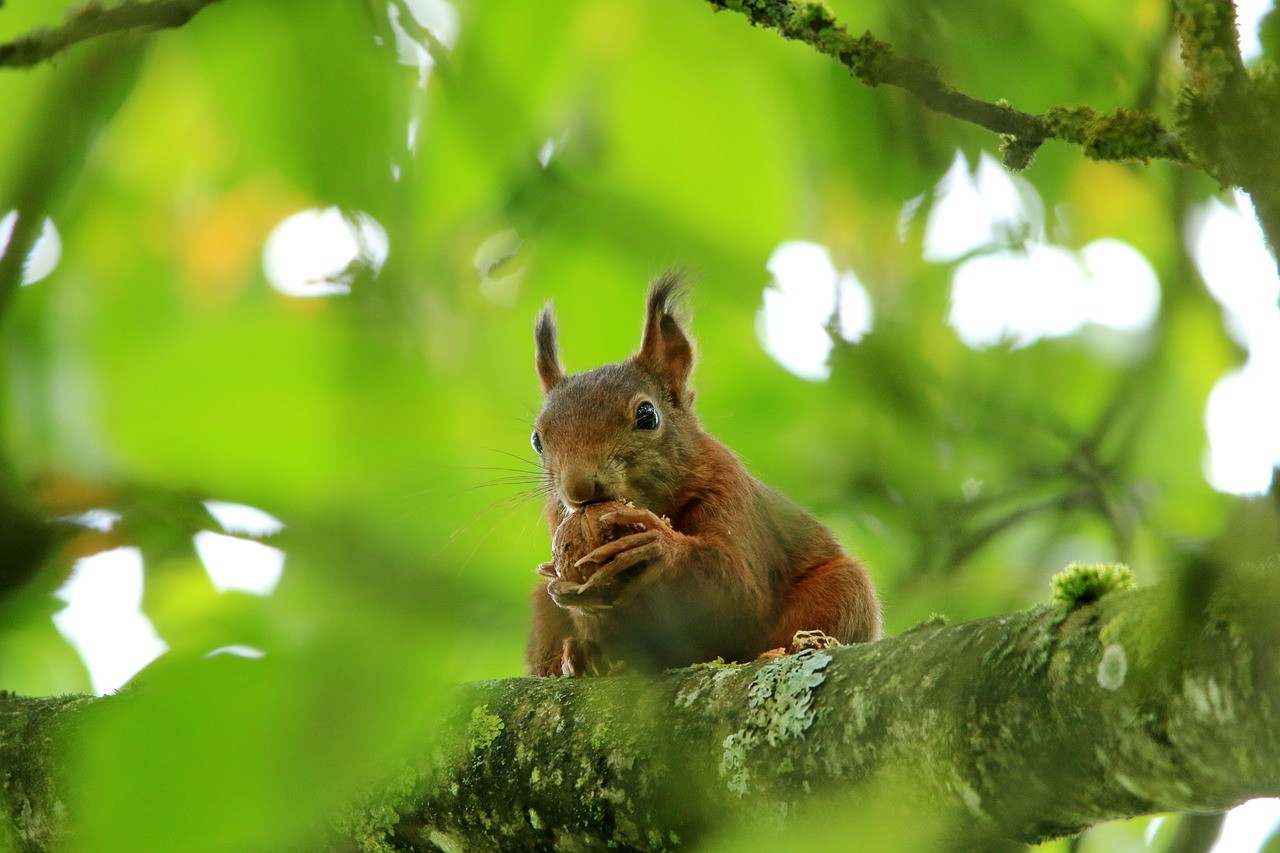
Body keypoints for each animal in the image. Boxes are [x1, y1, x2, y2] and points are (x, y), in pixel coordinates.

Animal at [524, 275, 885, 676]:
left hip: (844, 589)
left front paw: (656, 545)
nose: (578, 487)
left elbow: (736, 592)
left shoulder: (730, 493)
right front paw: (566, 589)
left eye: (647, 415)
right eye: (537, 440)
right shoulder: (558, 517)